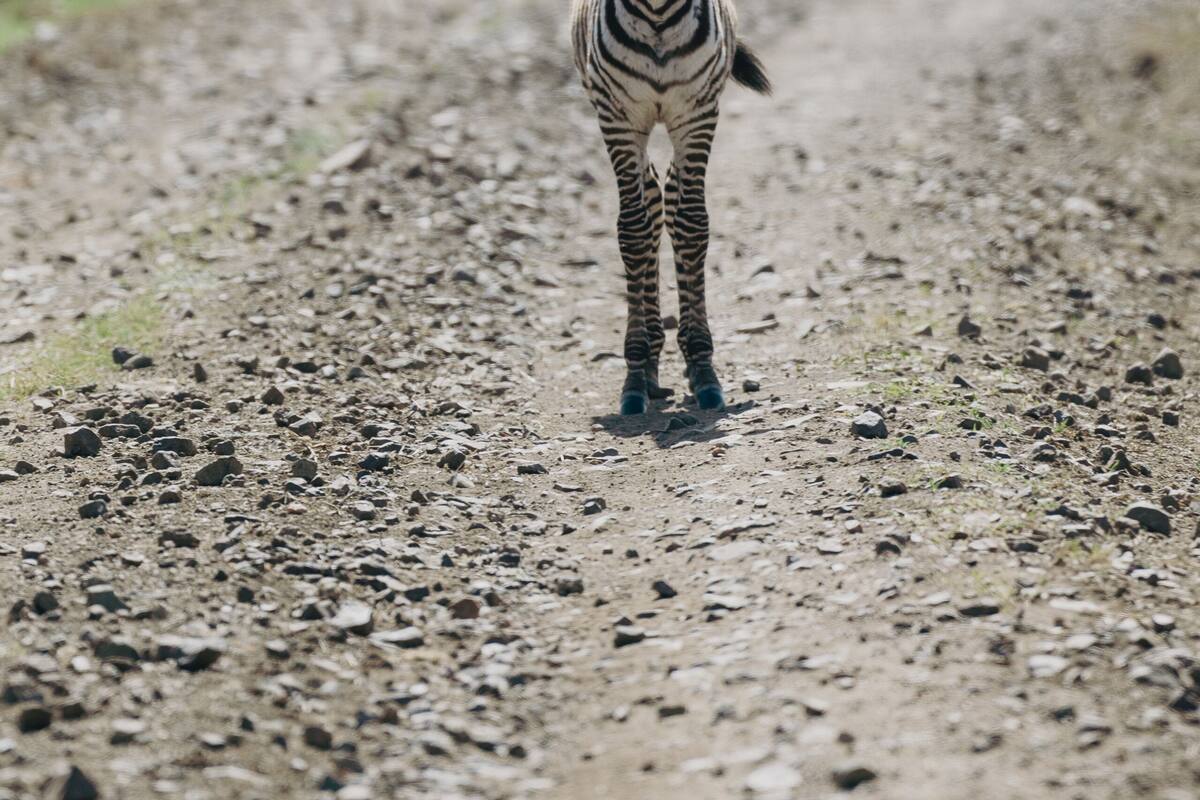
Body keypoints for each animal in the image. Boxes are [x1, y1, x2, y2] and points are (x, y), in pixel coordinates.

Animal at [570, 0, 770, 415]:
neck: (657, 14)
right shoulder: (618, 118)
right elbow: (633, 231)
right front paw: (635, 375)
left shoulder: (697, 114)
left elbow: (692, 225)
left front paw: (703, 367)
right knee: (651, 202)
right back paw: (649, 367)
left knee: (673, 198)